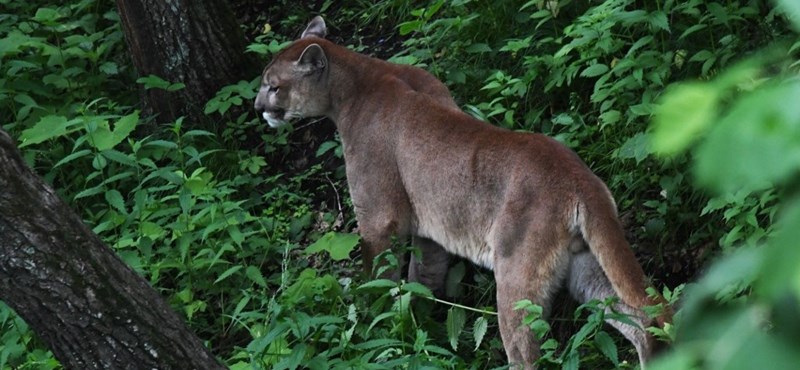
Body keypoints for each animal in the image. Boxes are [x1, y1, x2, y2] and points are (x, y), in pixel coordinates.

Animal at [255, 16, 668, 368]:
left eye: (274, 86)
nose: (258, 107)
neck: (357, 81)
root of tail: (581, 179)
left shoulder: (380, 219)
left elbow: (379, 279)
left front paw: (376, 328)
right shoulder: (429, 230)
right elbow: (422, 280)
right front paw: (415, 329)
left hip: (516, 276)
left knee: (528, 352)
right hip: (586, 267)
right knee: (641, 316)